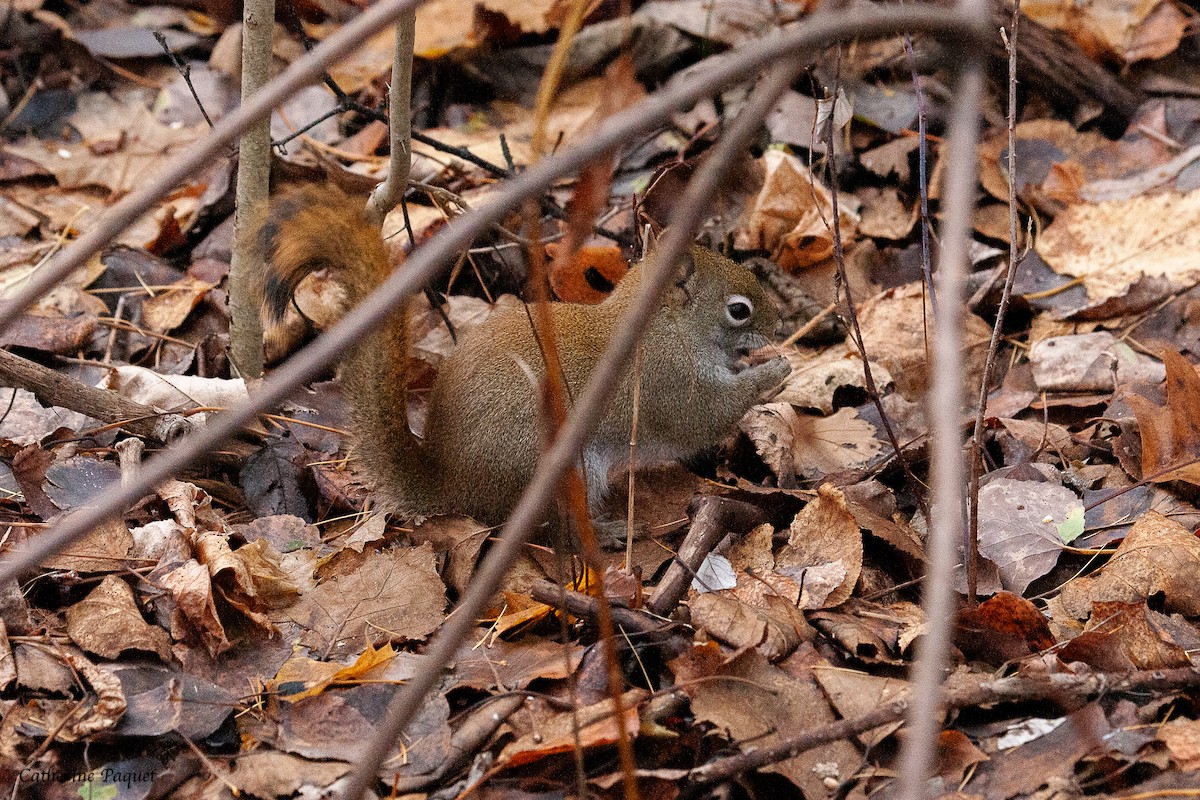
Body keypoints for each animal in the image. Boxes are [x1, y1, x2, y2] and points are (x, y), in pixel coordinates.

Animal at [262, 183, 790, 538]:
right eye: (738, 310)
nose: (780, 326)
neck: (664, 326)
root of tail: (455, 484)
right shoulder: (667, 382)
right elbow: (703, 418)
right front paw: (775, 370)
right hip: (556, 467)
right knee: (554, 530)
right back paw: (607, 533)